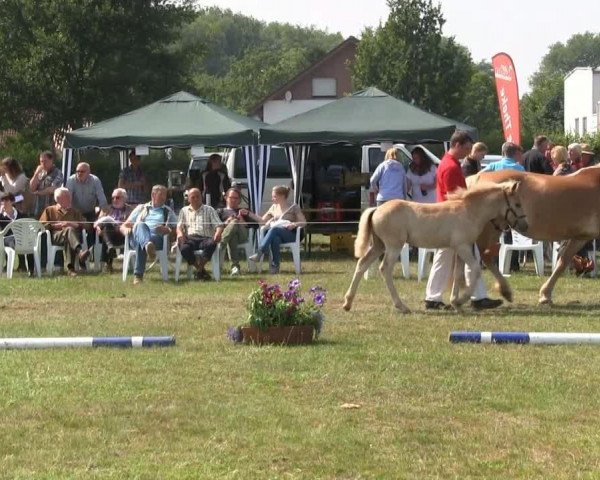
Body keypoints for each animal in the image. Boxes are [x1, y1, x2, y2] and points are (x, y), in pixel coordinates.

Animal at [344, 179, 528, 312]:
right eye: (517, 204)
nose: (525, 226)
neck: (469, 211)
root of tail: (376, 209)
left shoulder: (459, 249)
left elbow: (459, 275)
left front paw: (455, 302)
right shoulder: (463, 247)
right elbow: (475, 269)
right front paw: (461, 300)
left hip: (379, 245)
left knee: (362, 264)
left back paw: (347, 303)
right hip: (393, 246)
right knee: (385, 269)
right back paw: (401, 306)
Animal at [476, 167, 600, 306]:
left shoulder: (580, 237)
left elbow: (562, 262)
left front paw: (545, 295)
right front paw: (545, 296)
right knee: (483, 256)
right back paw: (503, 291)